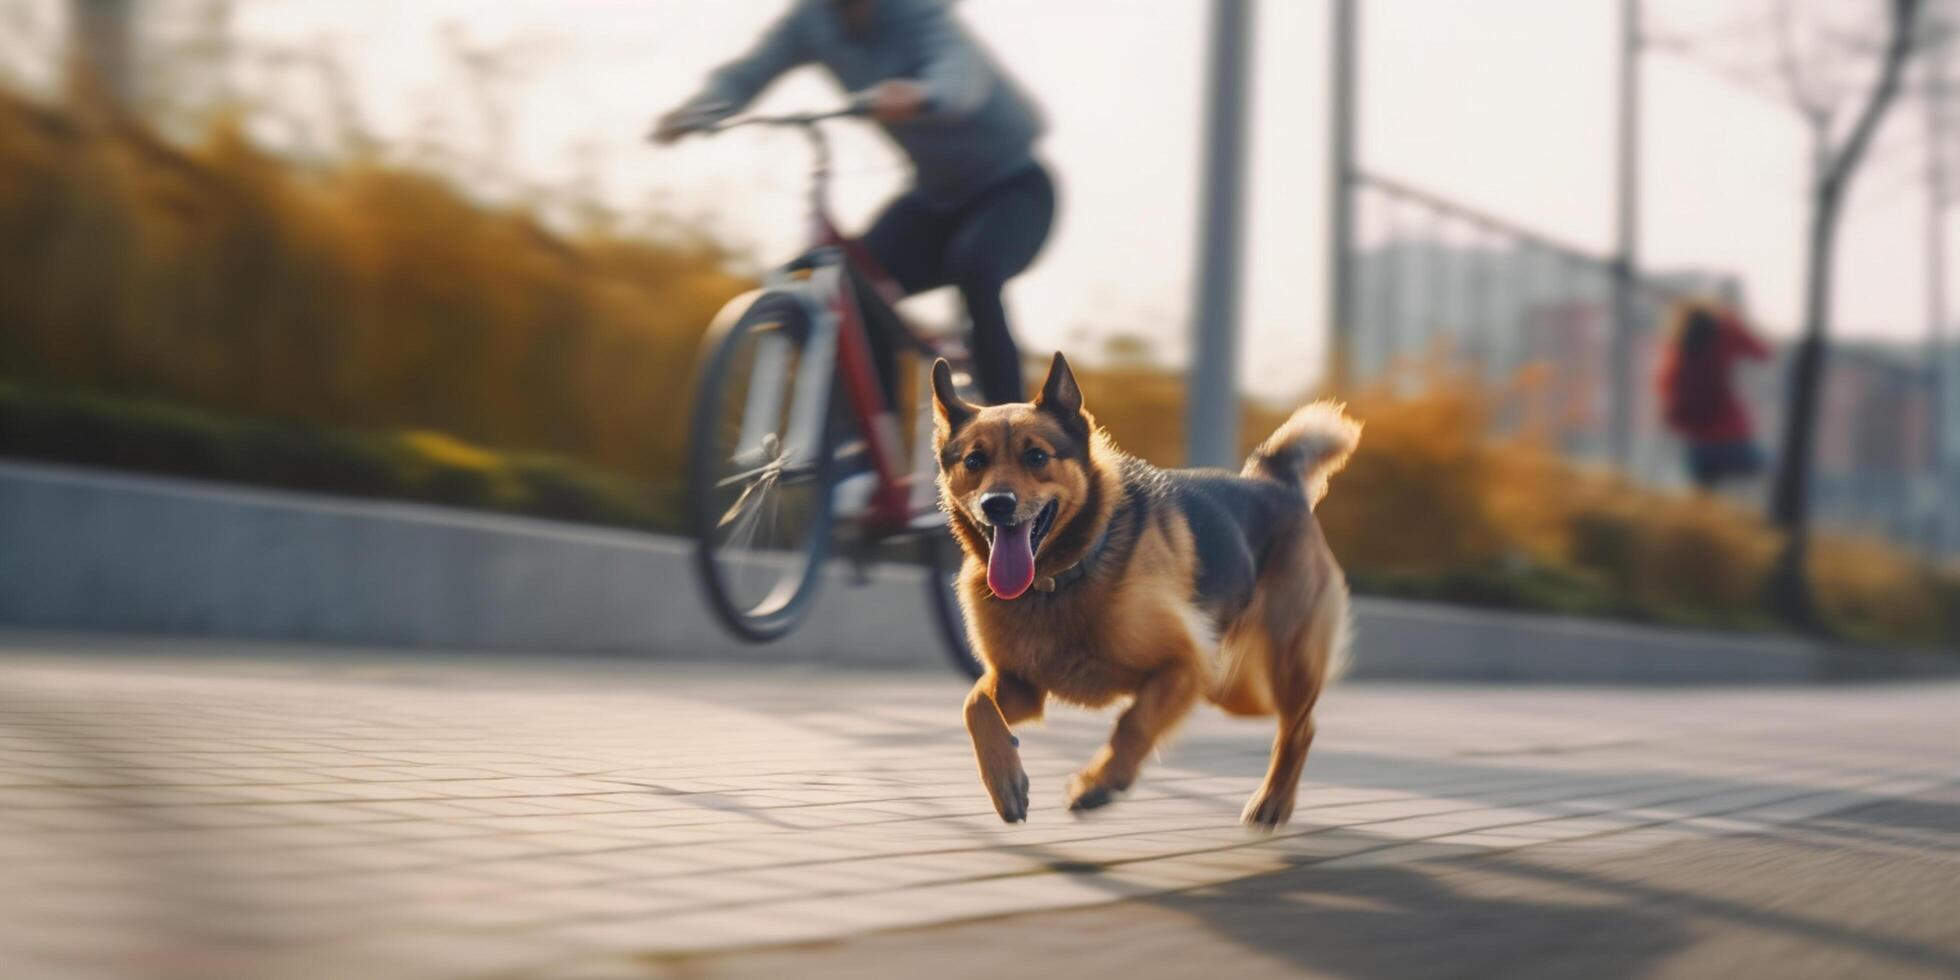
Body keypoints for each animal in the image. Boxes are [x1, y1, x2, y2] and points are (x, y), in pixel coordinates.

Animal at [932, 352, 1364, 827]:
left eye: (1036, 456)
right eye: (975, 461)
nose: (997, 504)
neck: (1058, 581)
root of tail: (1277, 482)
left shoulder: (1184, 664)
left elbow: (1134, 722)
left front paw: (1099, 783)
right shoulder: (1021, 685)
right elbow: (975, 706)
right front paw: (1005, 781)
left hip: (1282, 668)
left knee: (1299, 729)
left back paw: (1273, 801)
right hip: (1237, 689)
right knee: (1295, 723)